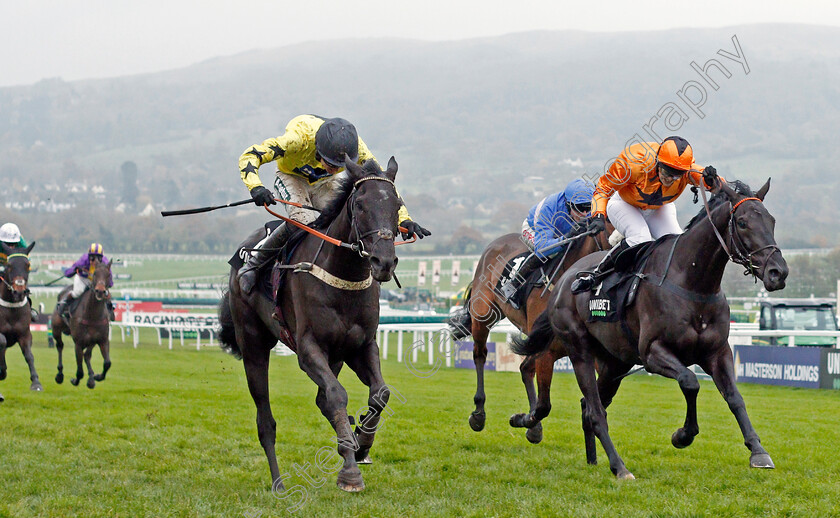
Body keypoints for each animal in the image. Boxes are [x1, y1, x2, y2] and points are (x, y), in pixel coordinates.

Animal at [0, 242, 41, 396]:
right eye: (9, 265)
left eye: (27, 265)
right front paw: (2, 370)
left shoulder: (24, 333)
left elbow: (29, 355)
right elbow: (2, 341)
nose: (19, 292)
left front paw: (36, 382)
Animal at [220, 158, 404, 496]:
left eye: (397, 205)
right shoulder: (308, 349)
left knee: (322, 400)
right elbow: (336, 395)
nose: (383, 262)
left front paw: (362, 443)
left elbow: (379, 393)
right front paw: (349, 472)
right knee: (265, 420)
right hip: (253, 345)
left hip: (337, 356)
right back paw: (278, 482)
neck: (343, 276)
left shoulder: (361, 345)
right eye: (360, 205)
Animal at [450, 222, 612, 442]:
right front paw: (525, 420)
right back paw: (478, 413)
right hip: (483, 316)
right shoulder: (547, 350)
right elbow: (545, 405)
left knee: (525, 367)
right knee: (480, 355)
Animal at [512, 181, 788, 482]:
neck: (693, 282)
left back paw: (591, 459)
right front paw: (682, 435)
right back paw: (619, 467)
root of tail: (563, 280)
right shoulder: (653, 353)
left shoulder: (717, 352)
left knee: (588, 406)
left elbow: (735, 398)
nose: (778, 273)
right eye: (743, 222)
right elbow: (690, 381)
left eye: (772, 221)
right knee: (595, 411)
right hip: (580, 350)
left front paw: (758, 452)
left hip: (614, 363)